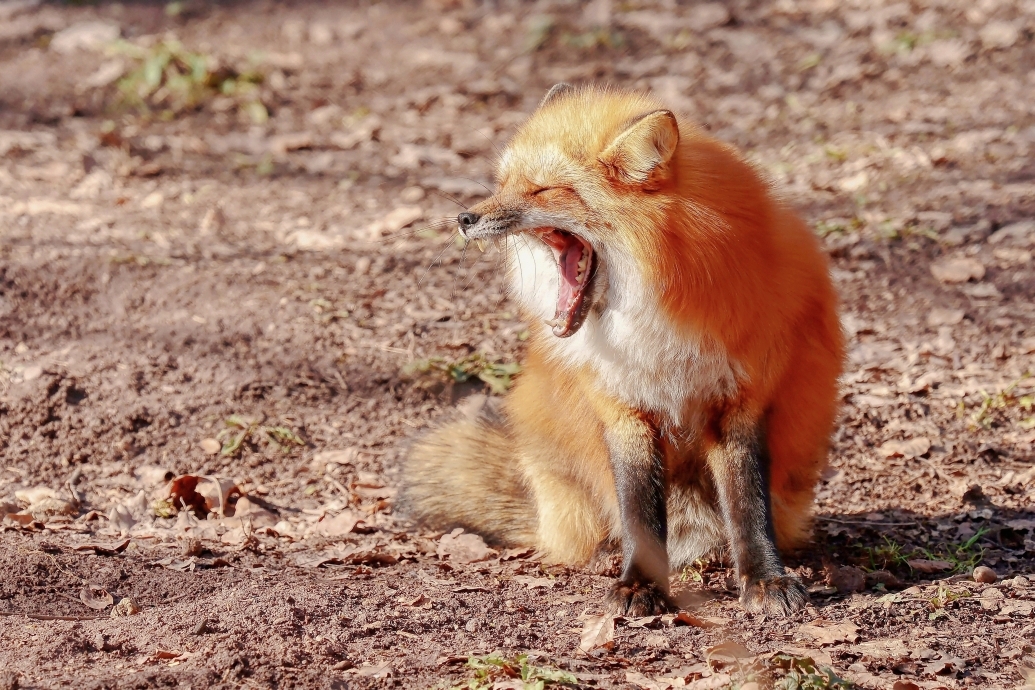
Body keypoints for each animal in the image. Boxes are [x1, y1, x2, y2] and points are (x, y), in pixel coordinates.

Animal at [399, 83, 844, 616]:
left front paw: (764, 580)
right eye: (503, 184)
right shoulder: (622, 404)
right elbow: (639, 511)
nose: (465, 218)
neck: (653, 315)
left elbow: (748, 505)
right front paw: (640, 584)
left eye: (542, 189)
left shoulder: (740, 398)